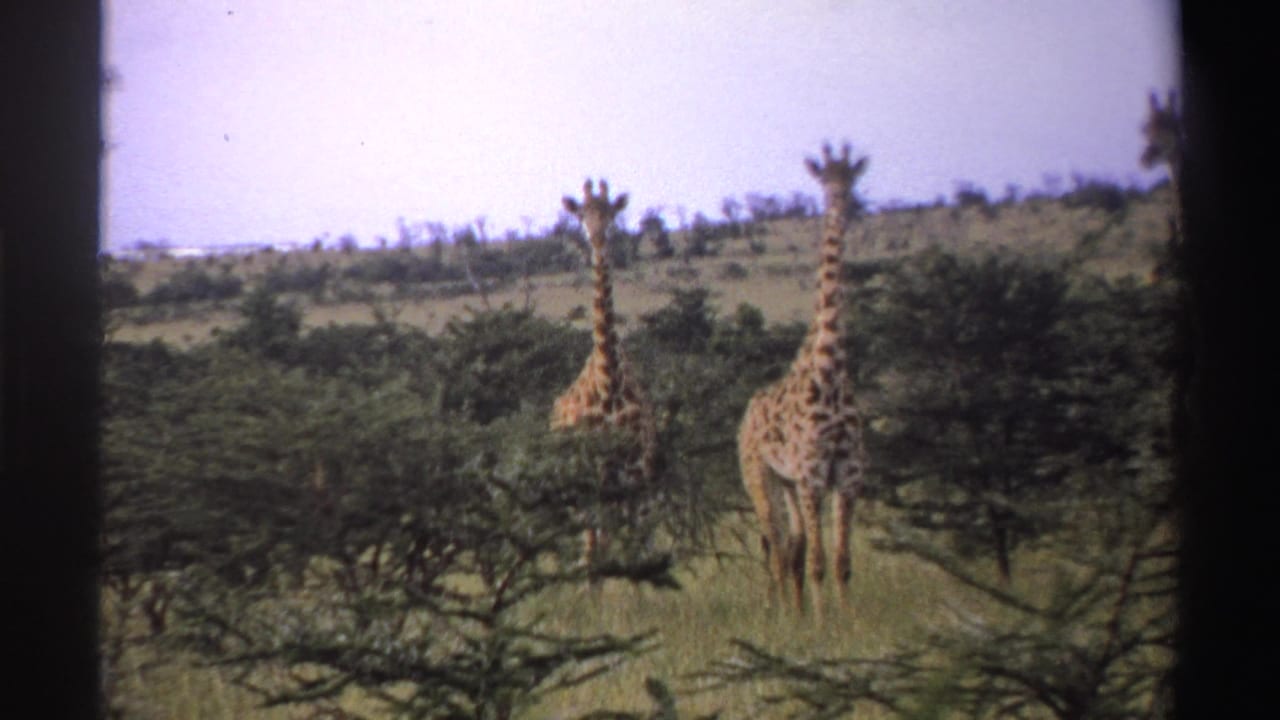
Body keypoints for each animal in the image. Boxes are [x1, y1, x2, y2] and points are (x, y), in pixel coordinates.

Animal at [551, 178, 658, 578]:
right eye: (582, 214)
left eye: (611, 212)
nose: (597, 240)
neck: (609, 382)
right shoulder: (598, 474)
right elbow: (601, 548)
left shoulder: (638, 473)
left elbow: (640, 549)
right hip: (579, 483)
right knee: (591, 544)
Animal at [738, 142, 869, 618]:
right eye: (824, 181)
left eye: (851, 179)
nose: (842, 203)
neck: (829, 370)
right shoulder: (812, 474)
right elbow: (817, 560)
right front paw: (823, 624)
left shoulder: (847, 475)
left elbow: (841, 560)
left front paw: (849, 620)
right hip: (761, 477)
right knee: (777, 549)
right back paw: (780, 614)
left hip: (789, 484)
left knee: (790, 548)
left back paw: (794, 611)